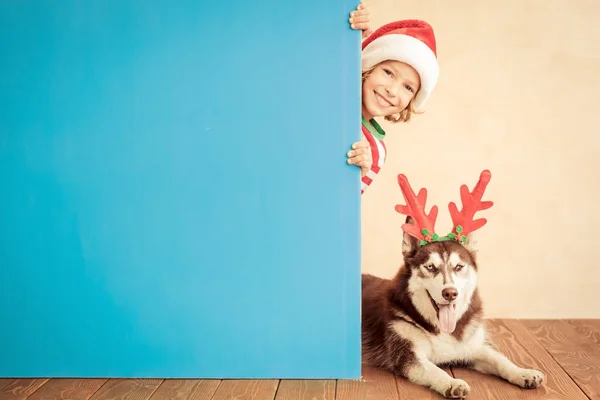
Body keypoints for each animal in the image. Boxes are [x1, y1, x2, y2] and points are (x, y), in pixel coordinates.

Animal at [360, 170, 544, 398]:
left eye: (458, 266)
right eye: (431, 267)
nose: (450, 293)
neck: (444, 331)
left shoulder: (474, 346)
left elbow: (500, 359)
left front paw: (523, 372)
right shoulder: (407, 353)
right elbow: (434, 370)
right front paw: (452, 383)